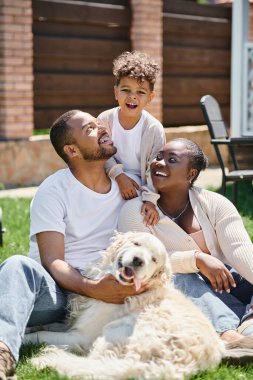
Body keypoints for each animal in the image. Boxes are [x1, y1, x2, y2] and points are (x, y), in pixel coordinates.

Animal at [27, 232, 229, 380]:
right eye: (137, 244)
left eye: (154, 259)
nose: (138, 260)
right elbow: (45, 325)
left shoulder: (80, 335)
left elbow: (41, 334)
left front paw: (27, 338)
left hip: (113, 331)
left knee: (92, 364)